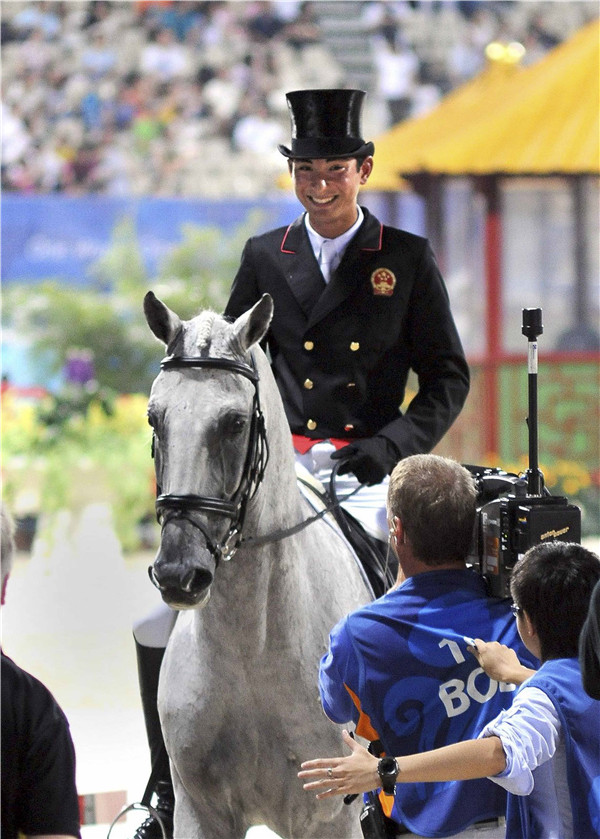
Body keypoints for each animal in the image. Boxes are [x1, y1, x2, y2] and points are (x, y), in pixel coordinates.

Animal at [144, 290, 372, 839]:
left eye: (235, 423)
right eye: (154, 419)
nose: (179, 574)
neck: (252, 649)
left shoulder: (327, 819)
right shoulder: (200, 814)